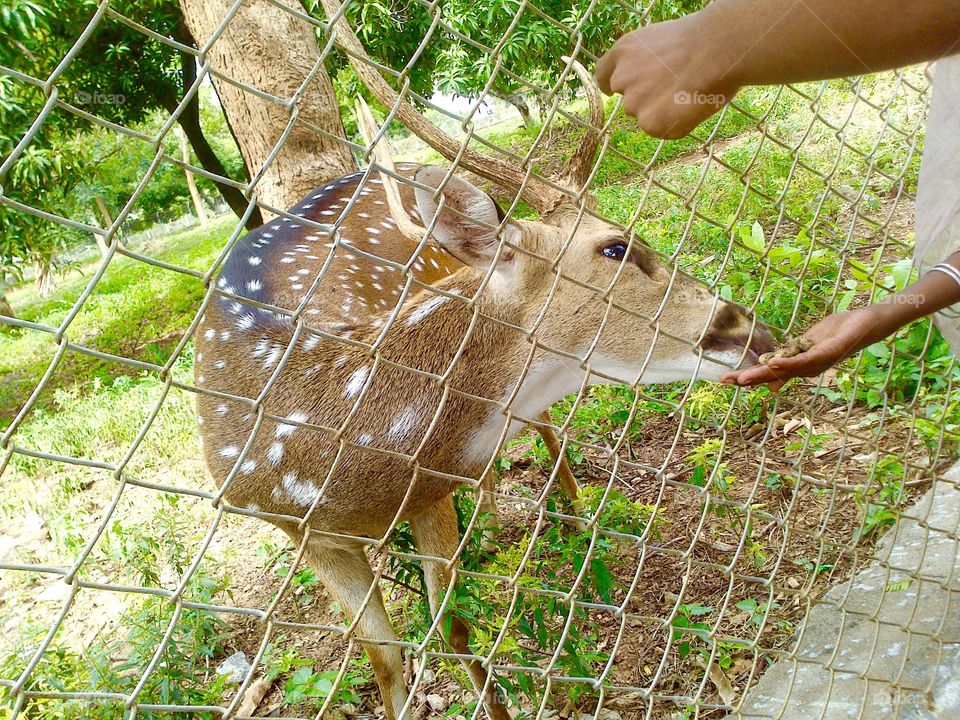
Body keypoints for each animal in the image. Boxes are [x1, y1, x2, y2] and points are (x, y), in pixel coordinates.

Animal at [193, 31, 772, 720]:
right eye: (616, 247)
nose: (751, 330)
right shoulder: (298, 530)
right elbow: (384, 654)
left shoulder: (428, 492)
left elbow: (451, 628)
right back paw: (501, 519)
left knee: (545, 431)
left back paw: (574, 513)